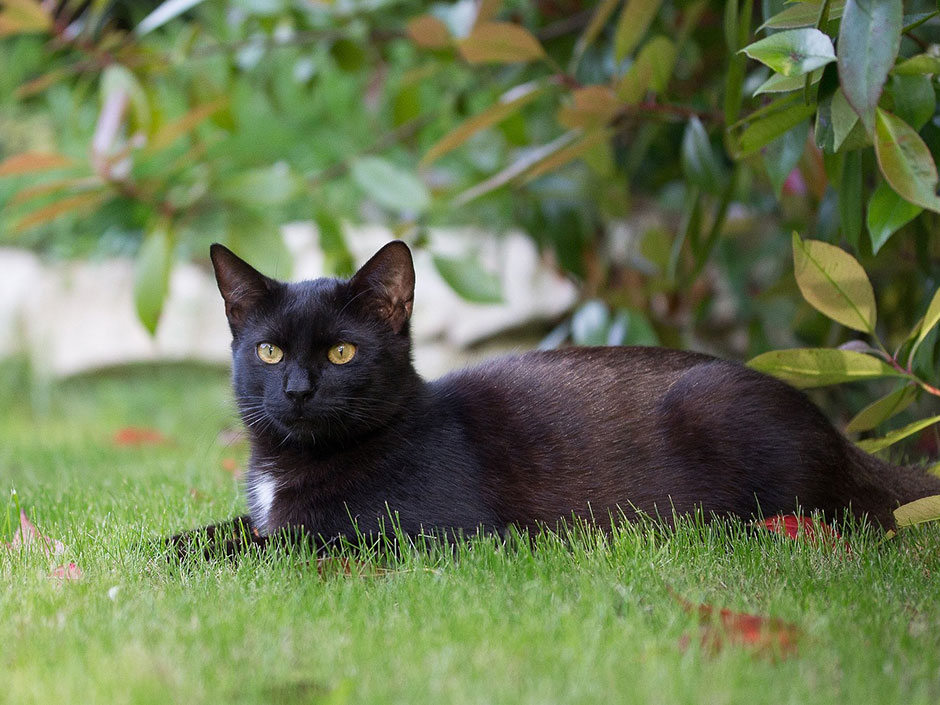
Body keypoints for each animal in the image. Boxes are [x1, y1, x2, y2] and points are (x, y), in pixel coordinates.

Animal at [173, 242, 936, 556]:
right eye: (269, 352)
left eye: (341, 353)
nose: (297, 390)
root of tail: (845, 441)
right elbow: (229, 531)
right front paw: (164, 548)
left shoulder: (424, 532)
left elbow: (280, 545)